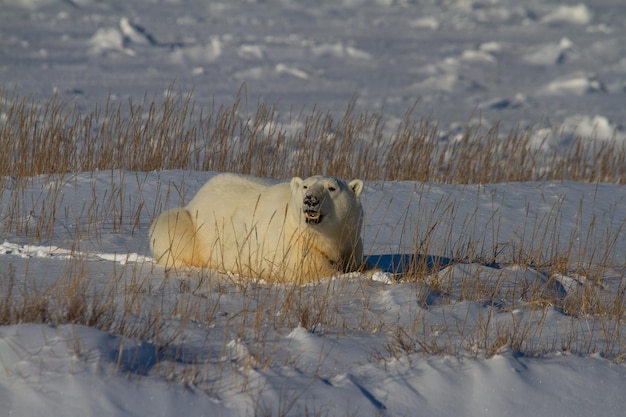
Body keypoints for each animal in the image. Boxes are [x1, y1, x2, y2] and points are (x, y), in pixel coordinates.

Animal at [149, 172, 364, 282]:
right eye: (305, 186)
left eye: (332, 188)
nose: (310, 200)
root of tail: (196, 200)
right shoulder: (291, 245)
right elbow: (313, 270)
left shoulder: (350, 241)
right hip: (194, 227)